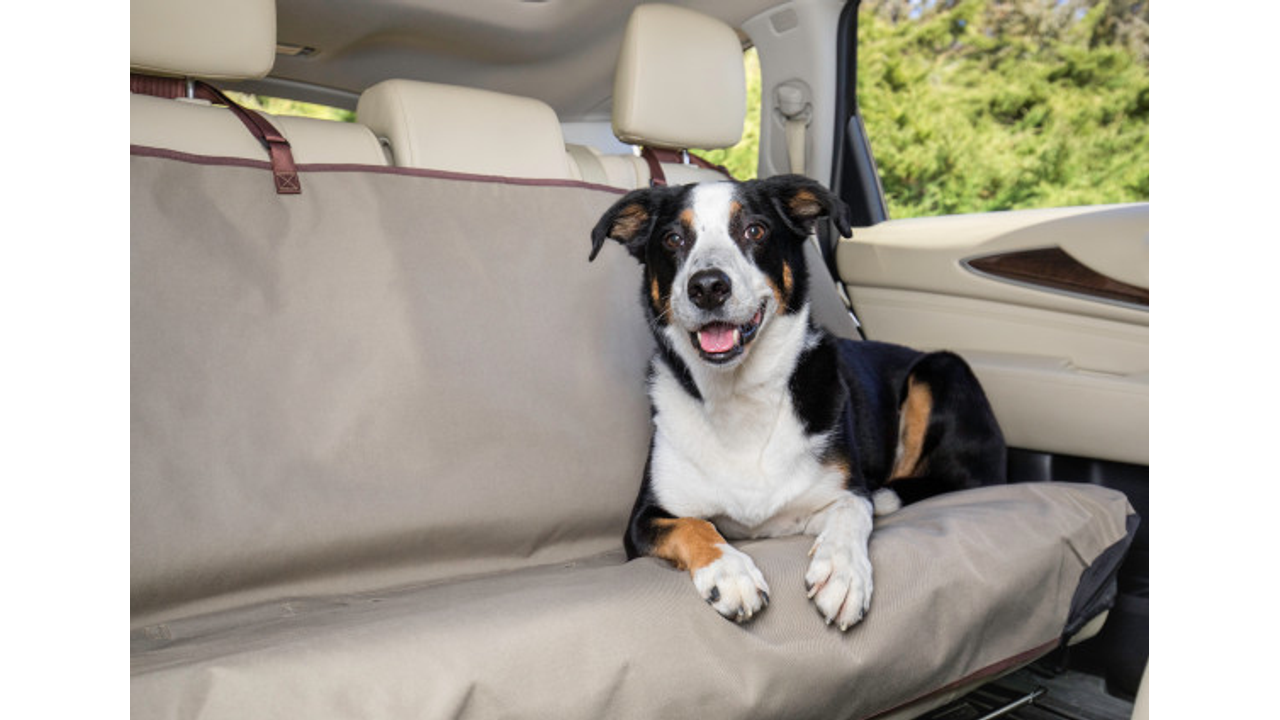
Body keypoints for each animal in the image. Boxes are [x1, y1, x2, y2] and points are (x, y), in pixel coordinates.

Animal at [591, 174, 1008, 627]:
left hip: (939, 369)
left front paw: (843, 573)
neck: (740, 396)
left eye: (754, 230)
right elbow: (693, 526)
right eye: (673, 239)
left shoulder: (843, 491)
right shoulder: (643, 519)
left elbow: (852, 510)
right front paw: (729, 572)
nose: (707, 287)